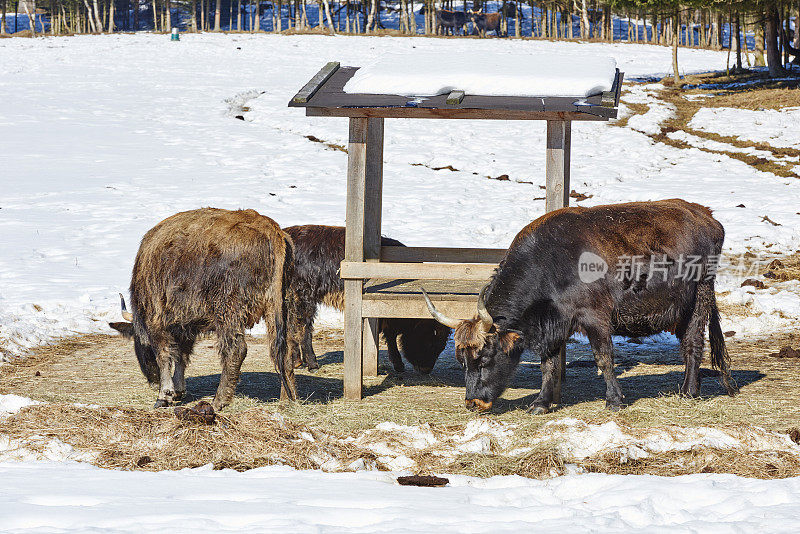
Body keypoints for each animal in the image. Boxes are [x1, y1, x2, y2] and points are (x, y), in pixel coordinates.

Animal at [112, 209, 296, 410]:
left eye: (139, 344)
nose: (152, 382)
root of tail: (271, 229)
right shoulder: (185, 325)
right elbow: (182, 356)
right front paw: (178, 391)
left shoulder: (157, 320)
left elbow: (165, 355)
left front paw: (164, 395)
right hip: (279, 309)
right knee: (284, 351)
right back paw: (288, 399)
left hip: (229, 312)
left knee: (236, 350)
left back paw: (218, 401)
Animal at [282, 227, 450, 376]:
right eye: (430, 340)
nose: (426, 369)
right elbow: (389, 335)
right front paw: (397, 363)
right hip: (303, 298)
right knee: (303, 328)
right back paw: (312, 364)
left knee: (291, 327)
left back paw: (297, 362)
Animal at [422, 201, 740, 414]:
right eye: (462, 361)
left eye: (485, 358)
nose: (473, 403)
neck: (551, 264)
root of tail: (706, 215)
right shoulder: (554, 326)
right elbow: (549, 366)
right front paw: (541, 403)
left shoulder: (595, 317)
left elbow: (604, 358)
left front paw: (614, 400)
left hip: (699, 298)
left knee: (693, 343)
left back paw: (688, 392)